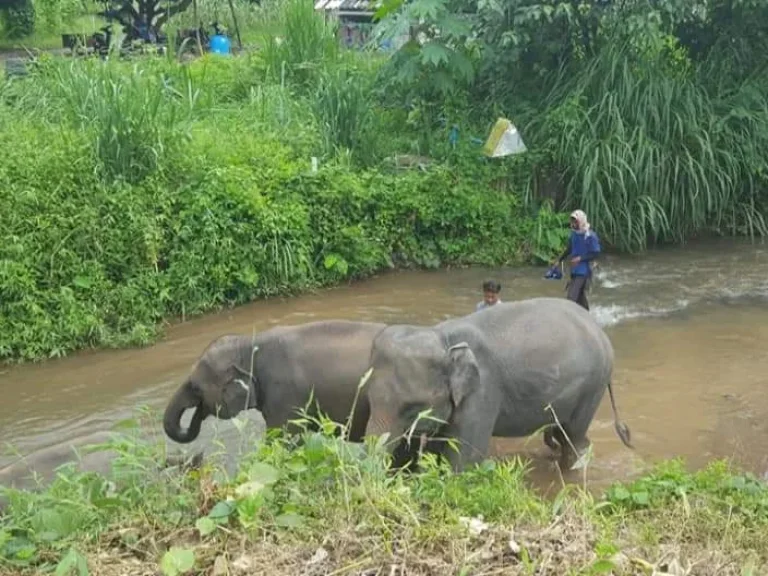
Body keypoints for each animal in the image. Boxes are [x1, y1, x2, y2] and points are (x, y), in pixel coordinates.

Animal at [364, 296, 632, 472]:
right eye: (369, 399)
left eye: (413, 409)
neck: (443, 338)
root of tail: (598, 328)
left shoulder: (483, 391)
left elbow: (464, 458)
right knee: (563, 433)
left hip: (593, 386)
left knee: (573, 437)